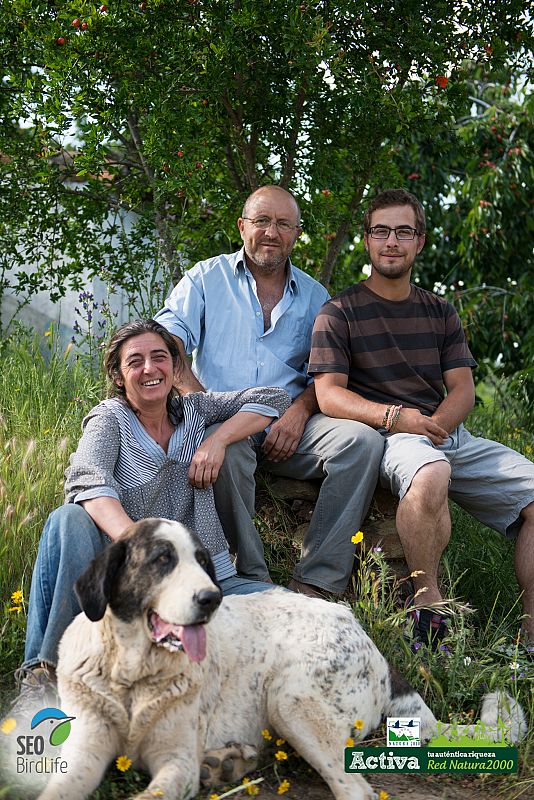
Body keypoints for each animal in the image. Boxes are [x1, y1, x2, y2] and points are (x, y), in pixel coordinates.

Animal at [36, 520, 528, 800]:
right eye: (162, 559)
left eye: (203, 562)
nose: (212, 598)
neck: (132, 678)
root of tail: (377, 652)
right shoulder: (85, 751)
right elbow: (59, 788)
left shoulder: (175, 762)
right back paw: (227, 761)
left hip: (290, 701)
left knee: (357, 790)